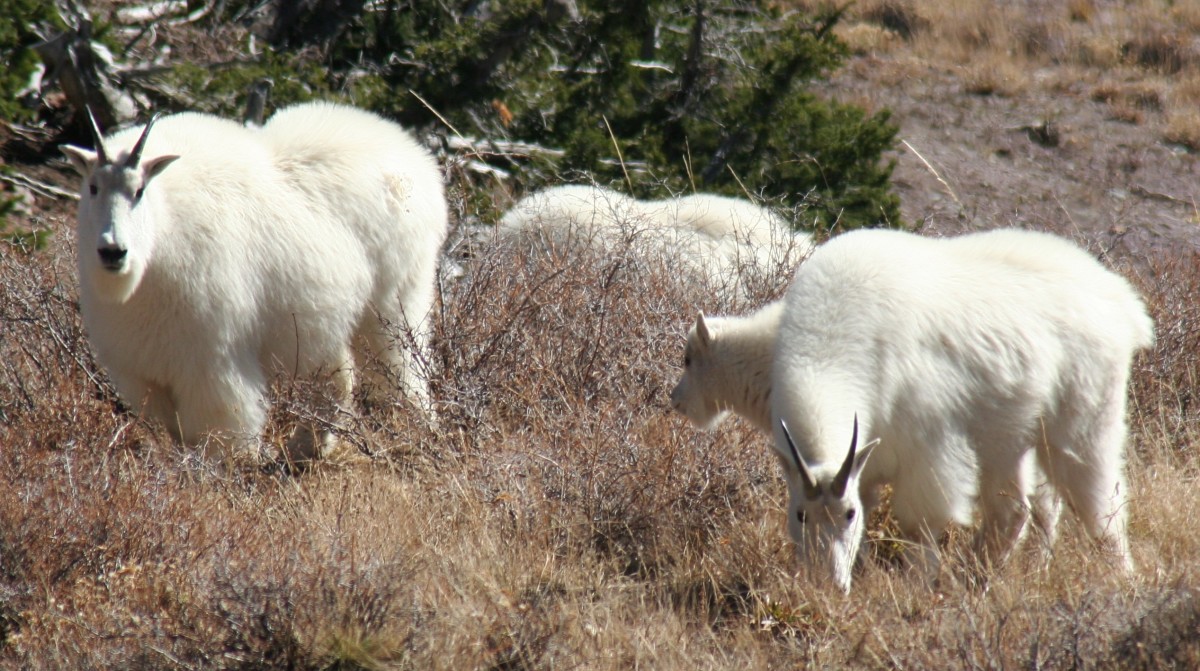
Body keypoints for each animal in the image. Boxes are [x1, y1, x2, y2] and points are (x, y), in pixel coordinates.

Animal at [60, 100, 448, 460]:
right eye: (92, 187)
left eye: (139, 190)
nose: (113, 252)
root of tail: (418, 162)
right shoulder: (145, 371)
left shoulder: (213, 357)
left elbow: (222, 426)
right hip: (322, 322)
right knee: (339, 376)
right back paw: (308, 447)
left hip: (395, 300)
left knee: (403, 368)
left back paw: (415, 428)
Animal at [768, 226, 1152, 592]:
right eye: (800, 514)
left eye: (847, 514)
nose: (828, 584)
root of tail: (1122, 303)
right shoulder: (864, 464)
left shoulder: (929, 451)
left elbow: (918, 526)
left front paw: (918, 585)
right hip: (1008, 439)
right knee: (1018, 509)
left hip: (1084, 423)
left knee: (1101, 507)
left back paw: (1118, 575)